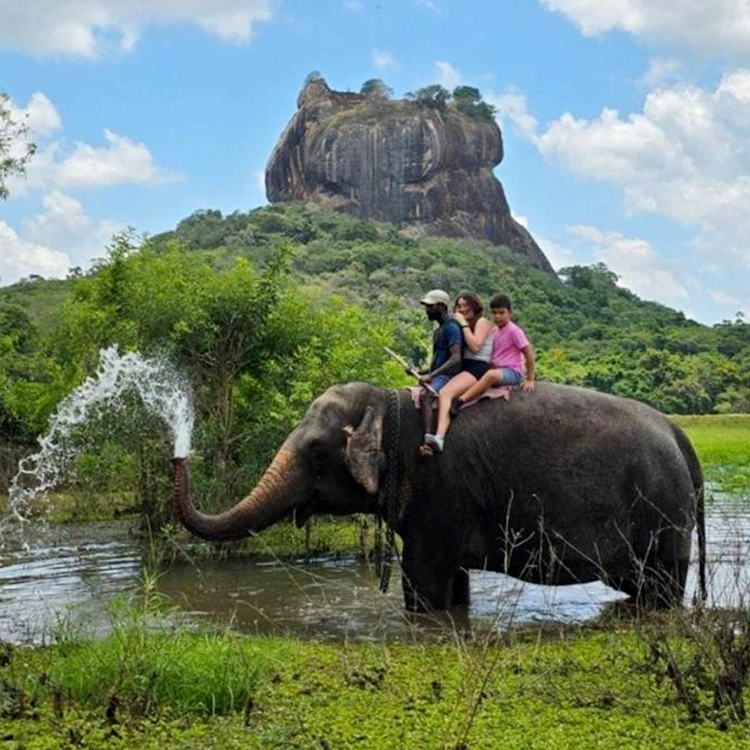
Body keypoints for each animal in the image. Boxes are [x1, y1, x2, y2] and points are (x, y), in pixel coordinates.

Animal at [172, 382, 706, 612]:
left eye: (317, 451)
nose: (178, 453)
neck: (390, 401)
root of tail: (680, 436)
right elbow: (452, 583)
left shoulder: (441, 492)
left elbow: (423, 579)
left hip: (664, 514)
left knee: (660, 588)